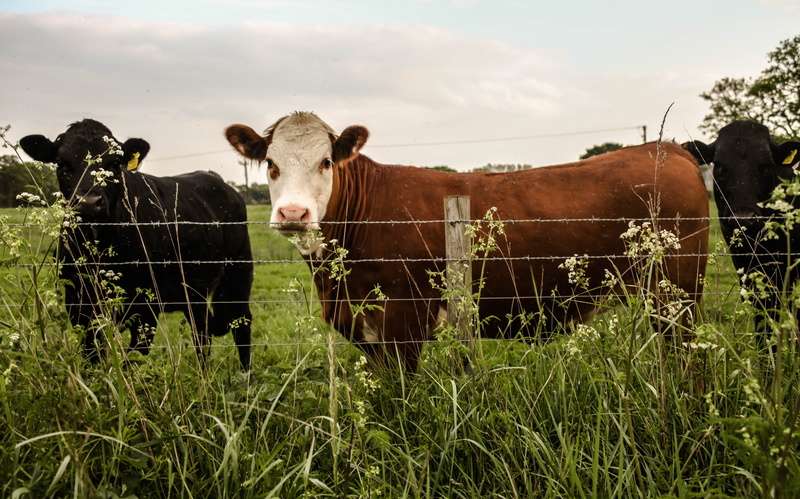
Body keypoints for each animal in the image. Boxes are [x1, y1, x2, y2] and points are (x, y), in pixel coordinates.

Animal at [20, 119, 254, 369]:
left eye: (114, 163)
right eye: (62, 163)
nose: (89, 202)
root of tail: (215, 179)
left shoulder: (145, 306)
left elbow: (134, 356)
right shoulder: (78, 301)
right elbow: (92, 352)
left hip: (238, 274)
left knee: (239, 323)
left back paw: (243, 374)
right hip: (193, 291)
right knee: (203, 332)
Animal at [226, 111, 709, 371]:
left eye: (326, 161)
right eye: (270, 163)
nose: (293, 214)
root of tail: (666, 149)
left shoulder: (404, 320)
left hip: (676, 293)